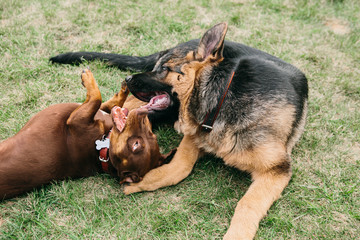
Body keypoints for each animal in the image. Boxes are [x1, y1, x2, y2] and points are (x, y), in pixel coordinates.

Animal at [0, 68, 174, 200]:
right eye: (152, 135)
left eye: (136, 145)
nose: (143, 115)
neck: (101, 147)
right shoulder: (101, 111)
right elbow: (109, 103)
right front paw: (124, 88)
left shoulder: (76, 119)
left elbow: (96, 98)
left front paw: (87, 77)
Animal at [51, 22, 310, 238]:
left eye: (164, 69)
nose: (128, 78)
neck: (220, 99)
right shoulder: (192, 137)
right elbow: (178, 168)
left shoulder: (276, 170)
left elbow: (248, 203)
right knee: (116, 108)